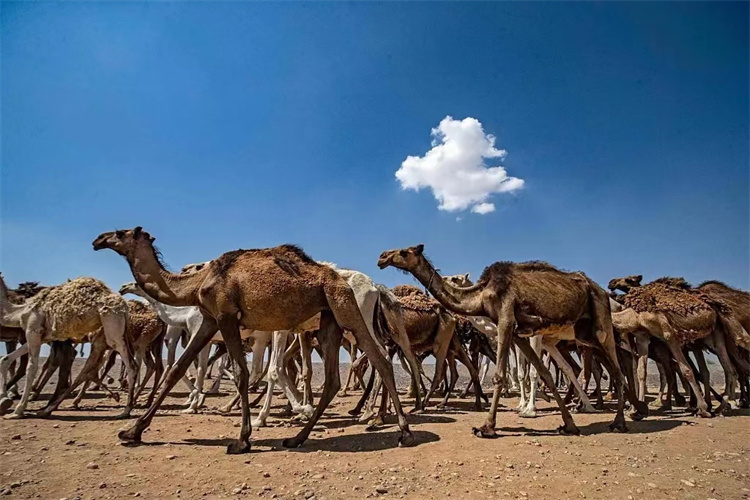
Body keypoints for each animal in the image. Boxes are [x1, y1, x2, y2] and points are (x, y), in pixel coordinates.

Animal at [0, 276, 138, 420]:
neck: (19, 312)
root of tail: (125, 307)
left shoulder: (33, 331)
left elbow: (31, 368)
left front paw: (17, 411)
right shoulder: (41, 337)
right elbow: (5, 359)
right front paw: (4, 400)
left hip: (112, 327)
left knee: (130, 365)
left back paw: (125, 410)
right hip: (113, 332)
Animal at [92, 227, 418, 454]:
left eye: (120, 232)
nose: (98, 239)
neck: (196, 284)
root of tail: (370, 285)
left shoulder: (227, 317)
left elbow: (242, 372)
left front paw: (242, 439)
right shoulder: (210, 320)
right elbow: (178, 369)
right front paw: (132, 431)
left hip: (345, 308)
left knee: (380, 358)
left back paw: (402, 430)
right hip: (328, 320)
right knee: (334, 379)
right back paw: (297, 437)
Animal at [378, 245, 648, 438]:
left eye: (404, 251)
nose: (382, 257)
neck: (482, 294)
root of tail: (602, 291)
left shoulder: (507, 320)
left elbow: (501, 374)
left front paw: (487, 426)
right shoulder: (519, 333)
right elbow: (542, 373)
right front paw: (568, 424)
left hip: (600, 323)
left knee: (617, 366)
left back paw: (620, 420)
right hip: (584, 334)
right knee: (609, 363)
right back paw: (630, 410)